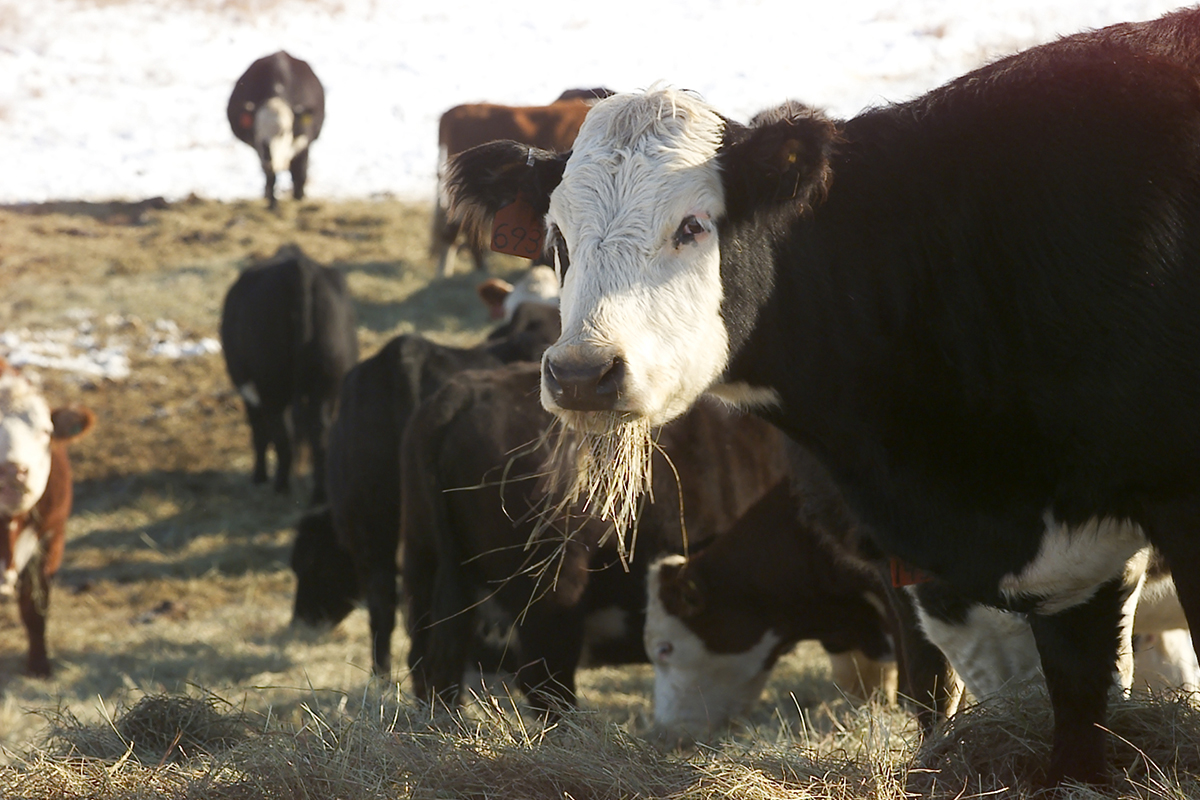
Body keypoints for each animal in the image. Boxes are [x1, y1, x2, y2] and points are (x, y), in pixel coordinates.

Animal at [220, 245, 358, 505]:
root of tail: (298, 270)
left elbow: (259, 432)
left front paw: (259, 476)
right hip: (326, 382)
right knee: (319, 433)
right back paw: (319, 494)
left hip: (272, 384)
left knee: (282, 433)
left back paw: (281, 486)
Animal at [227, 51, 325, 209]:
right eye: (257, 130)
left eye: (284, 131)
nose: (269, 155)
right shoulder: (261, 152)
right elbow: (271, 177)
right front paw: (272, 204)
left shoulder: (304, 142)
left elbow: (300, 173)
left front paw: (299, 200)